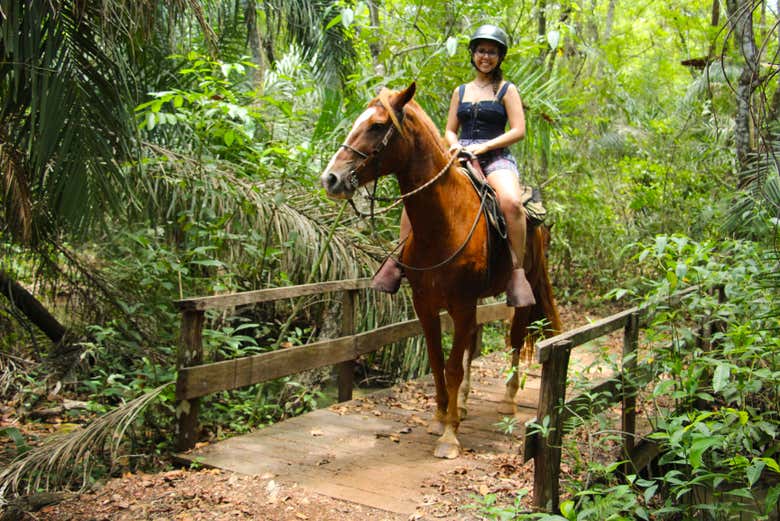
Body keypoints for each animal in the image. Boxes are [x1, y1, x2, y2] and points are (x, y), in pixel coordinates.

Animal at [318, 83, 560, 458]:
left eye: (377, 125)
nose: (331, 178)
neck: (444, 223)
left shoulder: (460, 303)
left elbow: (452, 366)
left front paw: (449, 436)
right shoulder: (426, 304)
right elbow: (437, 363)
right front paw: (441, 417)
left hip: (524, 288)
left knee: (515, 339)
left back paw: (507, 400)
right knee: (474, 343)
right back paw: (463, 405)